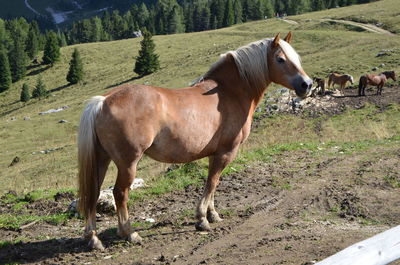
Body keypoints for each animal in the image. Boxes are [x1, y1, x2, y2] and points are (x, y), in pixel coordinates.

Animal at [77, 32, 312, 249]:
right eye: (280, 59)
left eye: (296, 57)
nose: (307, 85)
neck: (229, 91)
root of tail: (103, 101)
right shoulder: (226, 151)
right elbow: (212, 182)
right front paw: (201, 220)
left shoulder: (215, 154)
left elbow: (214, 182)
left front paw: (213, 214)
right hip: (128, 163)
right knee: (120, 193)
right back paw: (129, 233)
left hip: (102, 159)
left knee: (94, 193)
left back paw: (93, 239)